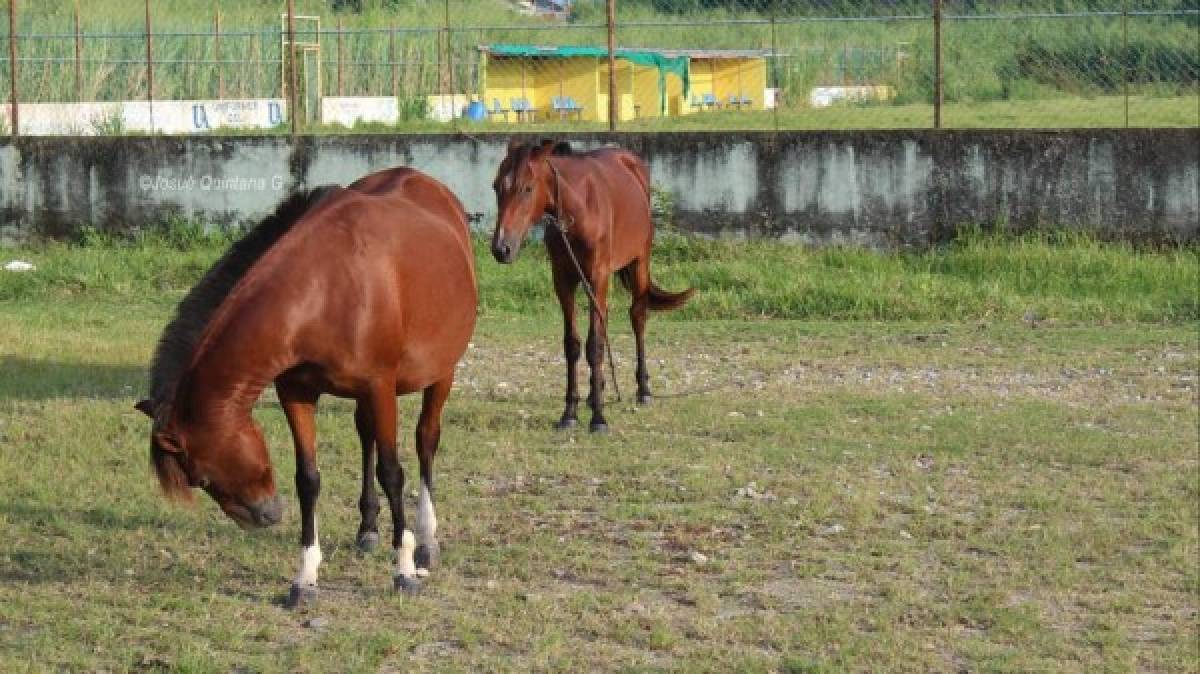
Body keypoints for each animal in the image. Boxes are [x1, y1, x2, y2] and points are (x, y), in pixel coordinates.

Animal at [135, 166, 472, 604]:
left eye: (201, 478)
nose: (266, 516)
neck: (325, 288)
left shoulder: (380, 387)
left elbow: (392, 472)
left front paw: (404, 569)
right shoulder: (296, 393)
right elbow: (308, 479)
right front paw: (305, 577)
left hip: (440, 372)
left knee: (426, 440)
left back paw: (427, 540)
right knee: (365, 436)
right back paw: (368, 530)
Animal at [489, 139, 696, 429]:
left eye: (527, 188)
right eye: (496, 186)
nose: (501, 248)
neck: (578, 208)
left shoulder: (598, 275)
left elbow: (595, 345)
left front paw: (599, 417)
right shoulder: (563, 279)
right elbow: (573, 345)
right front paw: (569, 412)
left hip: (639, 261)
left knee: (638, 316)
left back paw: (643, 390)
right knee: (604, 317)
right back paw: (594, 391)